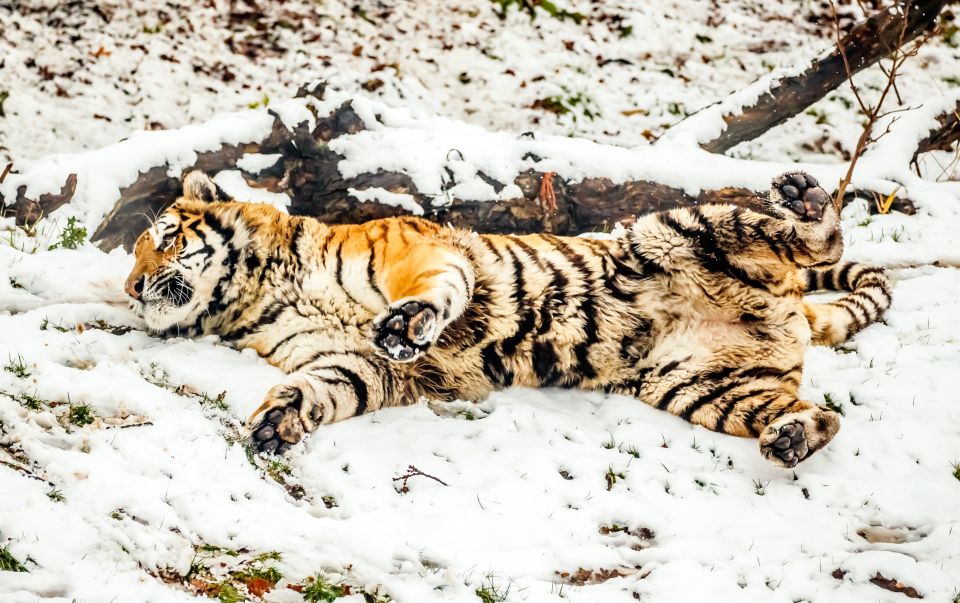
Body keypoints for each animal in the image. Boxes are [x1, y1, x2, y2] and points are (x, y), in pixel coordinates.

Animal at [127, 172, 892, 470]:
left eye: (162, 237)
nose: (133, 288)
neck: (263, 289)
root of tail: (790, 315)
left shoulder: (418, 253)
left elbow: (429, 299)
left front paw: (408, 323)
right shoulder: (355, 363)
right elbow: (331, 382)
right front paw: (278, 419)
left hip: (676, 228)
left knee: (818, 240)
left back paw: (806, 200)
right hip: (700, 387)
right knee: (821, 414)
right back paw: (793, 438)